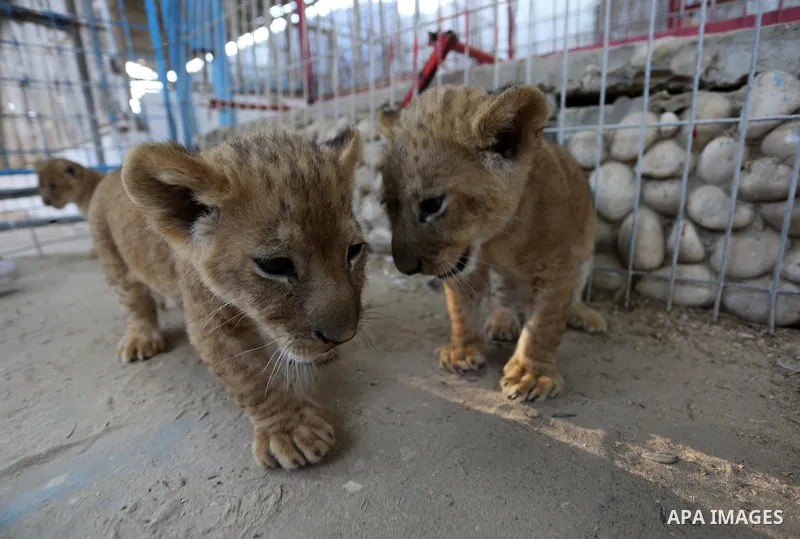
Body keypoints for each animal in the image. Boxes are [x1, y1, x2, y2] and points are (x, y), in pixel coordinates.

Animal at [88, 128, 366, 469]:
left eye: (354, 251)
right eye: (275, 265)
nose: (344, 336)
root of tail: (109, 175)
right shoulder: (212, 322)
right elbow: (251, 377)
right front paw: (291, 431)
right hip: (112, 257)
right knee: (134, 301)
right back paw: (141, 337)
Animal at [376, 84, 606, 402]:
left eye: (432, 204)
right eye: (388, 205)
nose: (405, 268)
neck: (497, 238)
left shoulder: (556, 269)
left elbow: (543, 324)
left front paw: (531, 374)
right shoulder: (463, 268)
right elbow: (461, 310)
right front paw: (462, 351)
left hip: (585, 252)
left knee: (575, 294)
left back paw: (584, 315)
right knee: (503, 290)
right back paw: (501, 321)